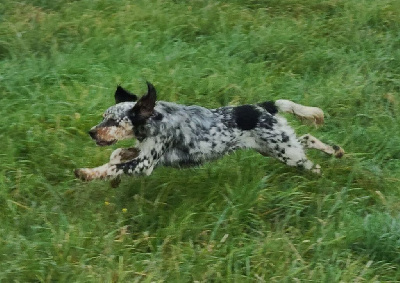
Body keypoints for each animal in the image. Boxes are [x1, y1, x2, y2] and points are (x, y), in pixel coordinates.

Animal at [75, 82, 344, 184]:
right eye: (103, 117)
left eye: (113, 121)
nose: (91, 133)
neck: (154, 120)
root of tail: (266, 106)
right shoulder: (143, 151)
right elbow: (118, 154)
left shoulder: (146, 163)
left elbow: (114, 166)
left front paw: (87, 173)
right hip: (275, 148)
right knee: (307, 138)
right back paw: (336, 150)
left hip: (286, 152)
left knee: (310, 160)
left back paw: (321, 169)